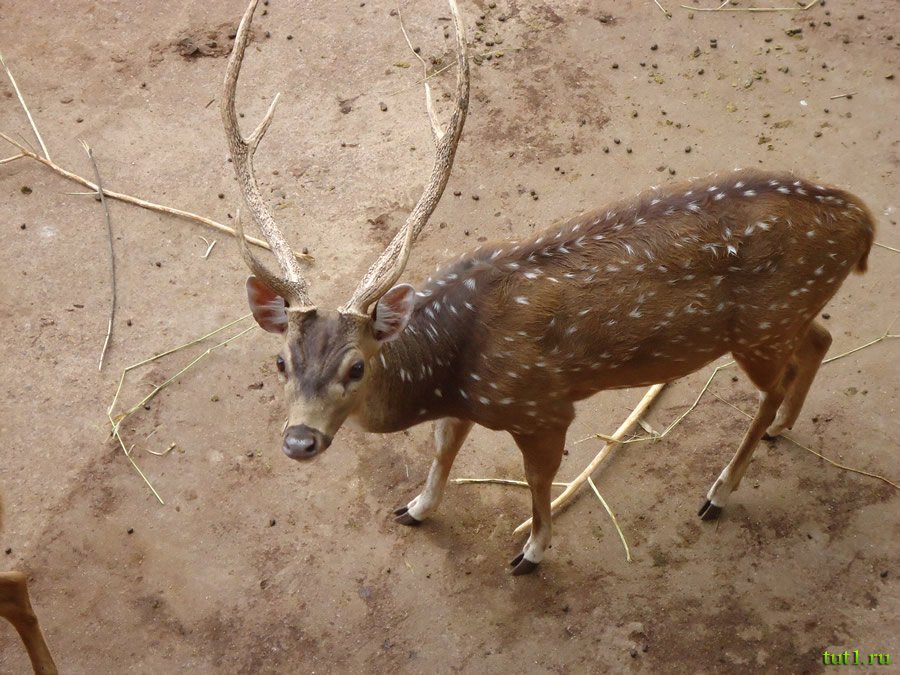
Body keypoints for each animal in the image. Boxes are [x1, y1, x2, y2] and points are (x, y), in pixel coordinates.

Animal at [223, 0, 875, 575]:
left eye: (356, 366)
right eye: (280, 361)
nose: (300, 441)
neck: (449, 367)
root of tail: (863, 221)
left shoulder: (540, 405)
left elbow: (537, 480)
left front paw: (532, 553)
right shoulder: (465, 405)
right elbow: (442, 449)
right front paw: (415, 508)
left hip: (760, 328)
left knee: (776, 381)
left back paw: (720, 491)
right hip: (786, 316)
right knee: (820, 337)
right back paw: (782, 428)